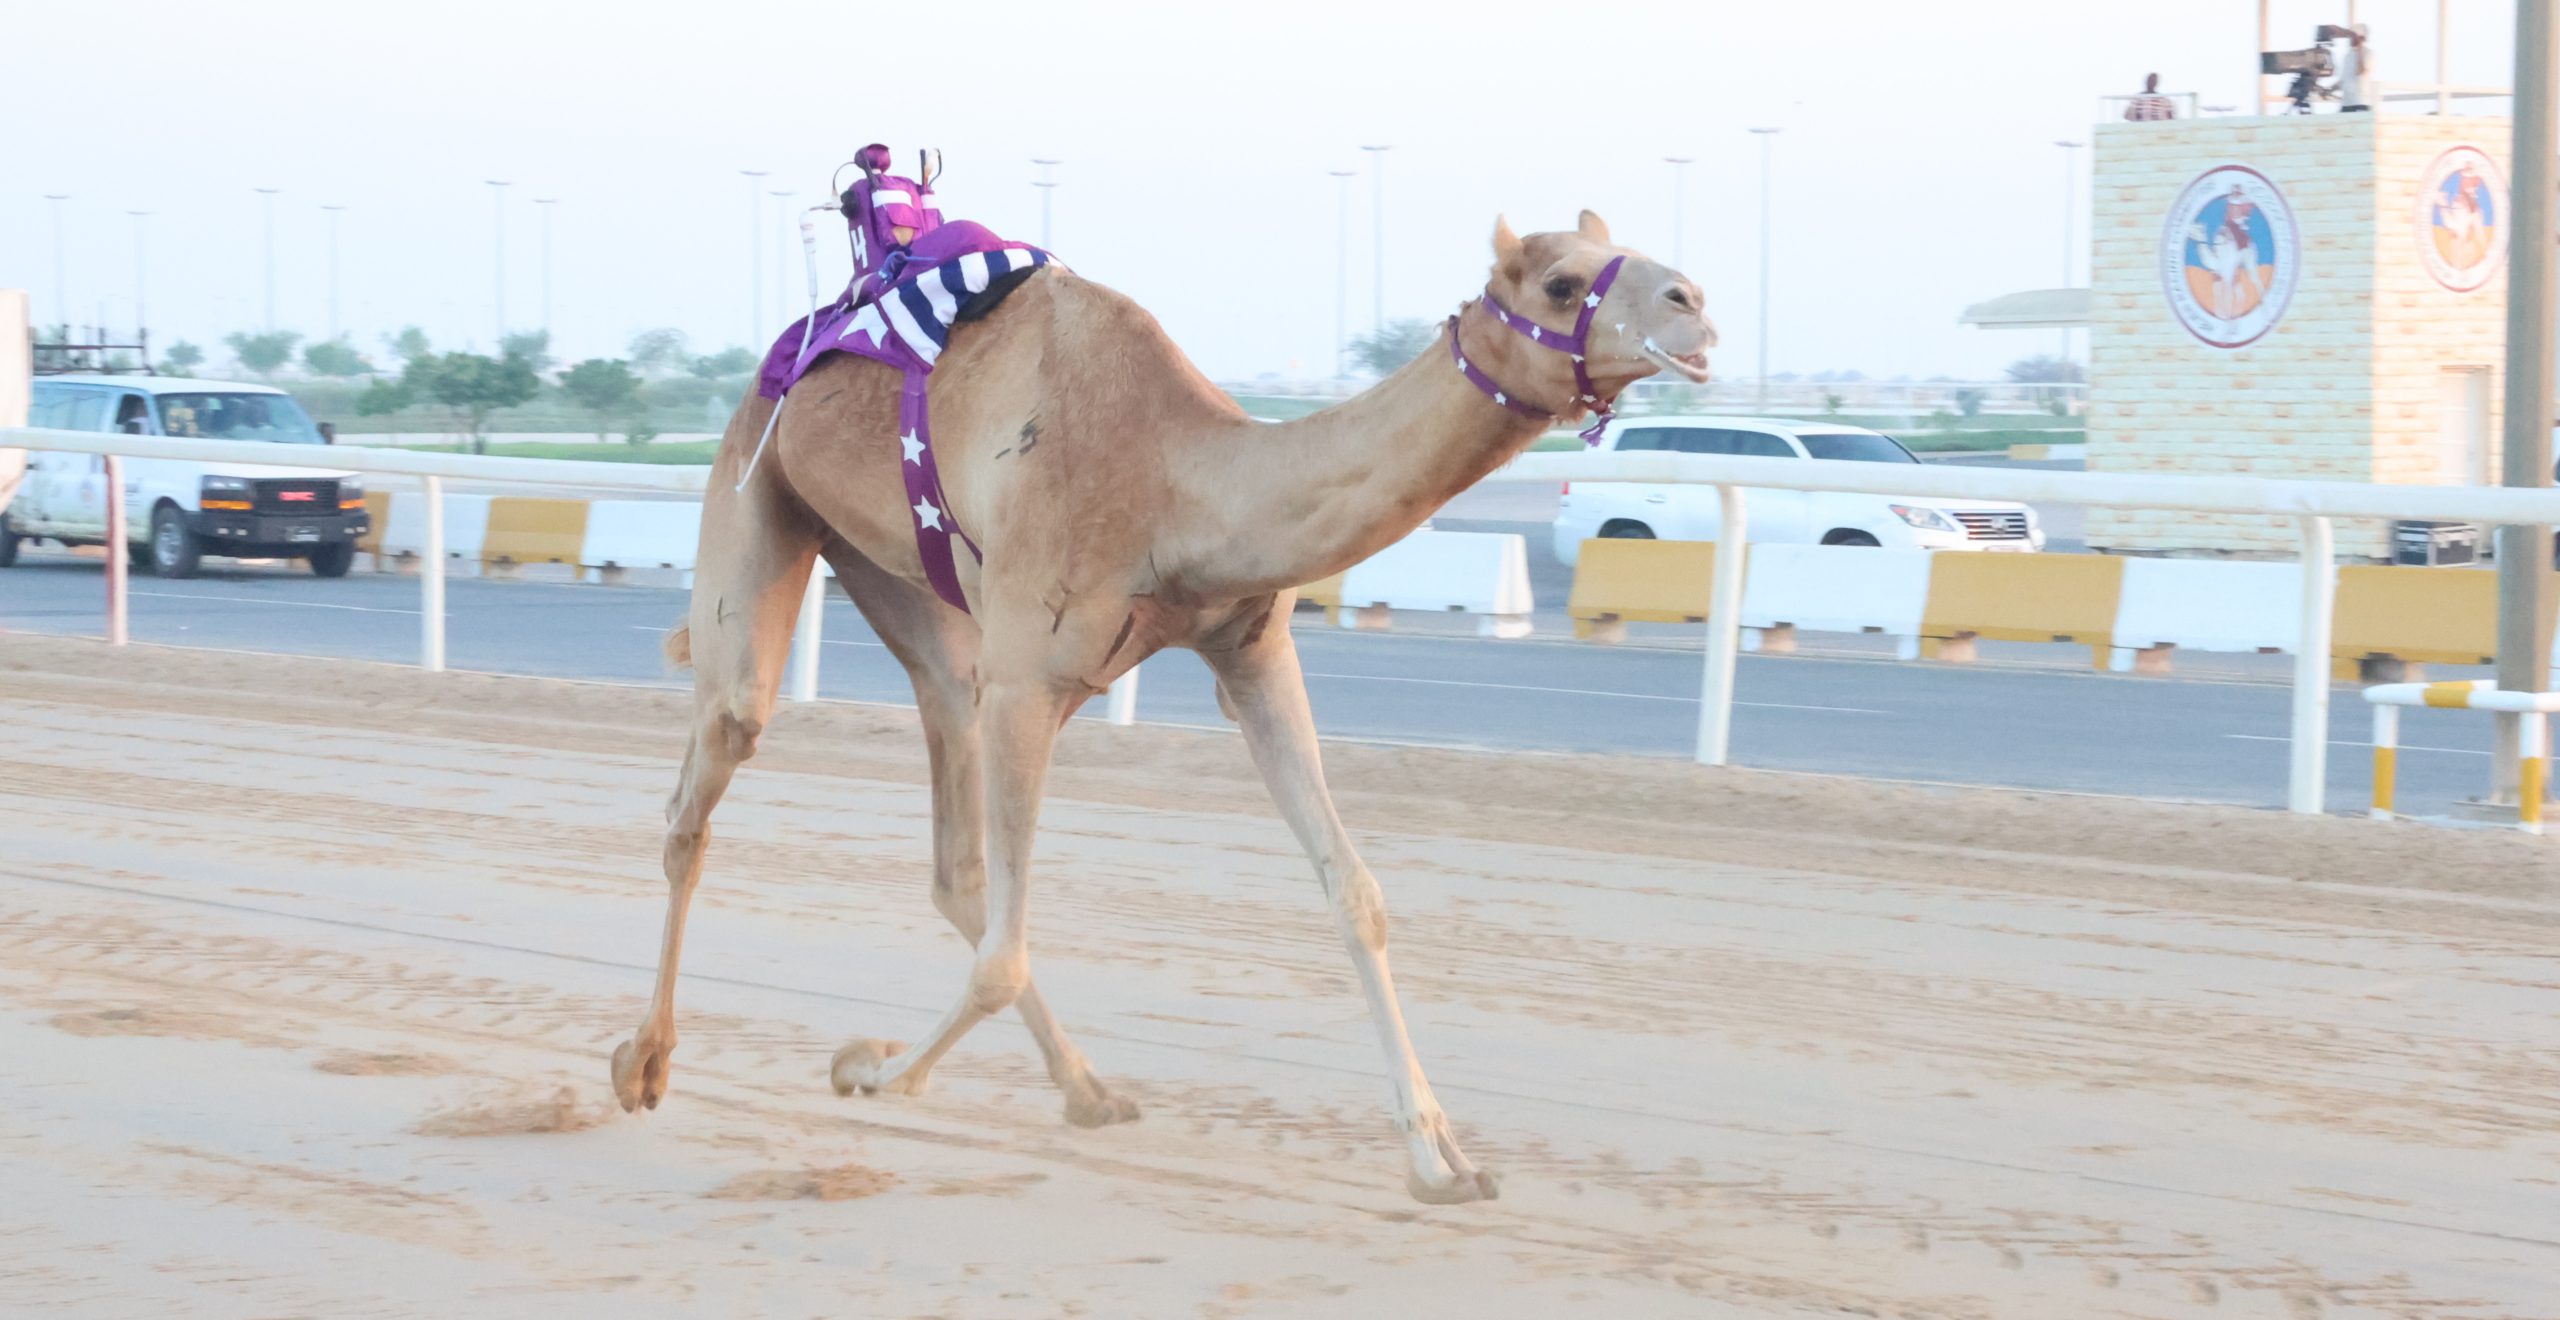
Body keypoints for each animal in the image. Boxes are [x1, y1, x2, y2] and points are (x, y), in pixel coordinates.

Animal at [609, 208, 1710, 1207]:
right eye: (1561, 283)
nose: (1694, 304)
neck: (1181, 486)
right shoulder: (1030, 679)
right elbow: (1002, 959)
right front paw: (870, 1070)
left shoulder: (1250, 654)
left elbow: (1354, 893)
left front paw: (1442, 1160)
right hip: (760, 492)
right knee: (708, 772)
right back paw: (642, 1063)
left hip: (913, 595)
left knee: (954, 851)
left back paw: (1091, 1092)